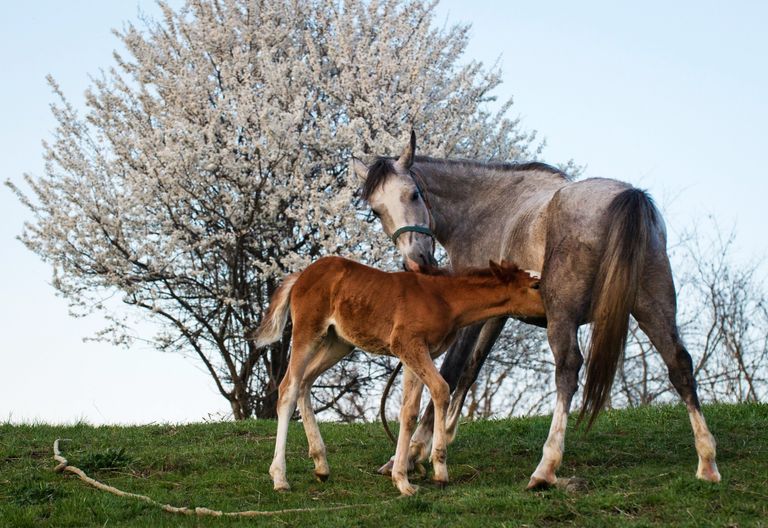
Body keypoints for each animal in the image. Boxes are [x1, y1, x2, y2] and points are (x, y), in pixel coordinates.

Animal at [252, 255, 544, 495]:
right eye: (536, 285)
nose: (550, 310)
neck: (445, 299)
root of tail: (300, 275)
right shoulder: (408, 344)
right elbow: (441, 389)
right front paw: (439, 470)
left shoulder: (414, 354)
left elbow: (409, 412)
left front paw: (402, 480)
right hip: (308, 331)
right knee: (288, 388)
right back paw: (280, 478)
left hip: (338, 342)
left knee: (305, 383)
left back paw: (321, 465)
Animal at [350, 132, 721, 488]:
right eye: (376, 211)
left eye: (414, 194)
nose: (416, 261)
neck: (489, 210)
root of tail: (629, 196)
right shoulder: (495, 315)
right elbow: (472, 369)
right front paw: (440, 440)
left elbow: (452, 371)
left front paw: (414, 452)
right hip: (654, 307)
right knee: (679, 364)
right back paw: (707, 461)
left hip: (564, 315)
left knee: (568, 370)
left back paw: (546, 467)